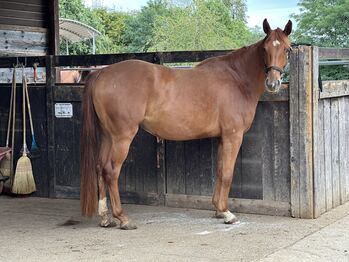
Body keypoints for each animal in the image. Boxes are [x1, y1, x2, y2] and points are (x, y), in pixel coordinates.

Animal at [79, 18, 290, 229]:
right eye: (265, 49)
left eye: (287, 49)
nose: (273, 83)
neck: (236, 80)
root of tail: (102, 73)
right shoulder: (233, 136)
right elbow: (227, 174)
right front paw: (227, 213)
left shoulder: (223, 138)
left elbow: (220, 171)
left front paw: (218, 209)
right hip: (122, 137)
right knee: (111, 171)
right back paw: (122, 218)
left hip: (107, 136)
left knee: (100, 168)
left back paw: (105, 217)